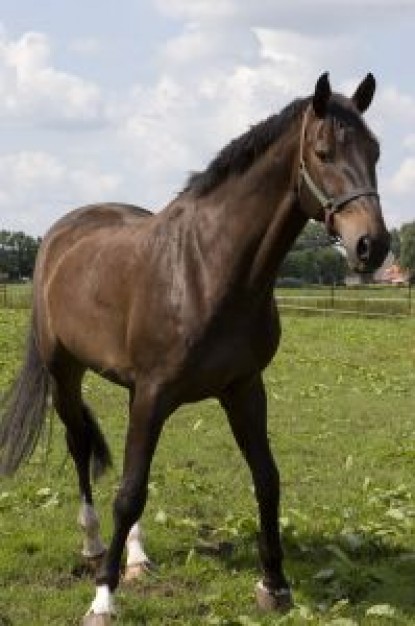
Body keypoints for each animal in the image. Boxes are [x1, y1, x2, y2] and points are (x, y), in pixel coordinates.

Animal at [0, 72, 390, 620]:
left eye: (375, 150)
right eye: (323, 151)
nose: (372, 247)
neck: (206, 268)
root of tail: (61, 235)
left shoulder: (243, 389)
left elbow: (266, 479)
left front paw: (274, 585)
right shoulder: (155, 392)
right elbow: (129, 493)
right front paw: (103, 598)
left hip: (130, 391)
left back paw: (137, 557)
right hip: (65, 373)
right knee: (80, 449)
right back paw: (95, 546)